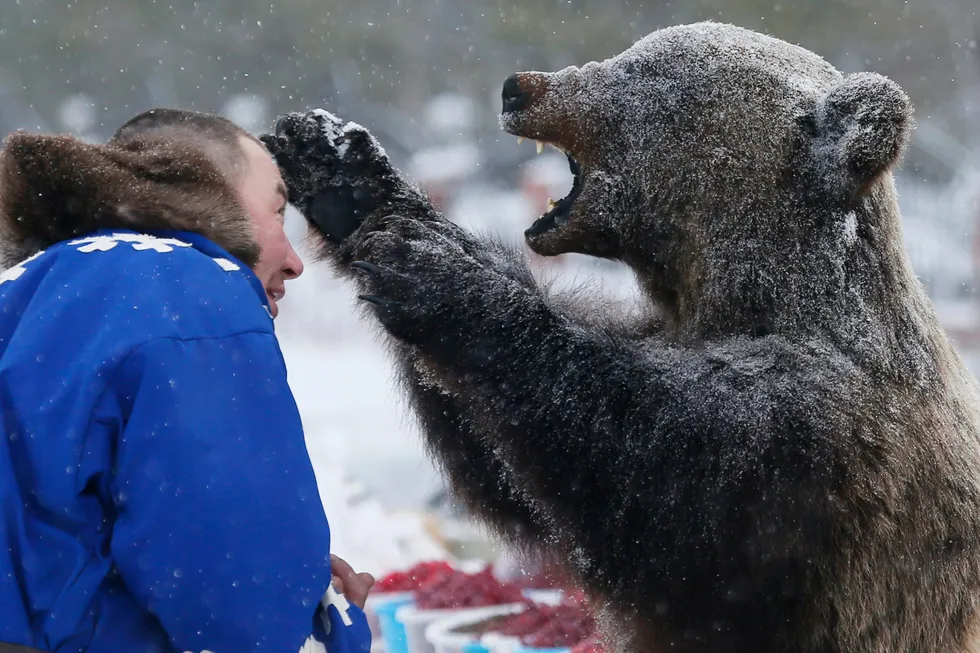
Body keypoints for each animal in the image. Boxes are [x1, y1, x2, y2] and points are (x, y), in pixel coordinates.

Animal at [262, 20, 980, 652]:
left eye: (646, 69)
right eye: (633, 52)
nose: (519, 87)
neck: (746, 297)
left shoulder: (818, 438)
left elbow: (643, 475)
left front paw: (437, 273)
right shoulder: (658, 329)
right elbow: (512, 481)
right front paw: (347, 176)